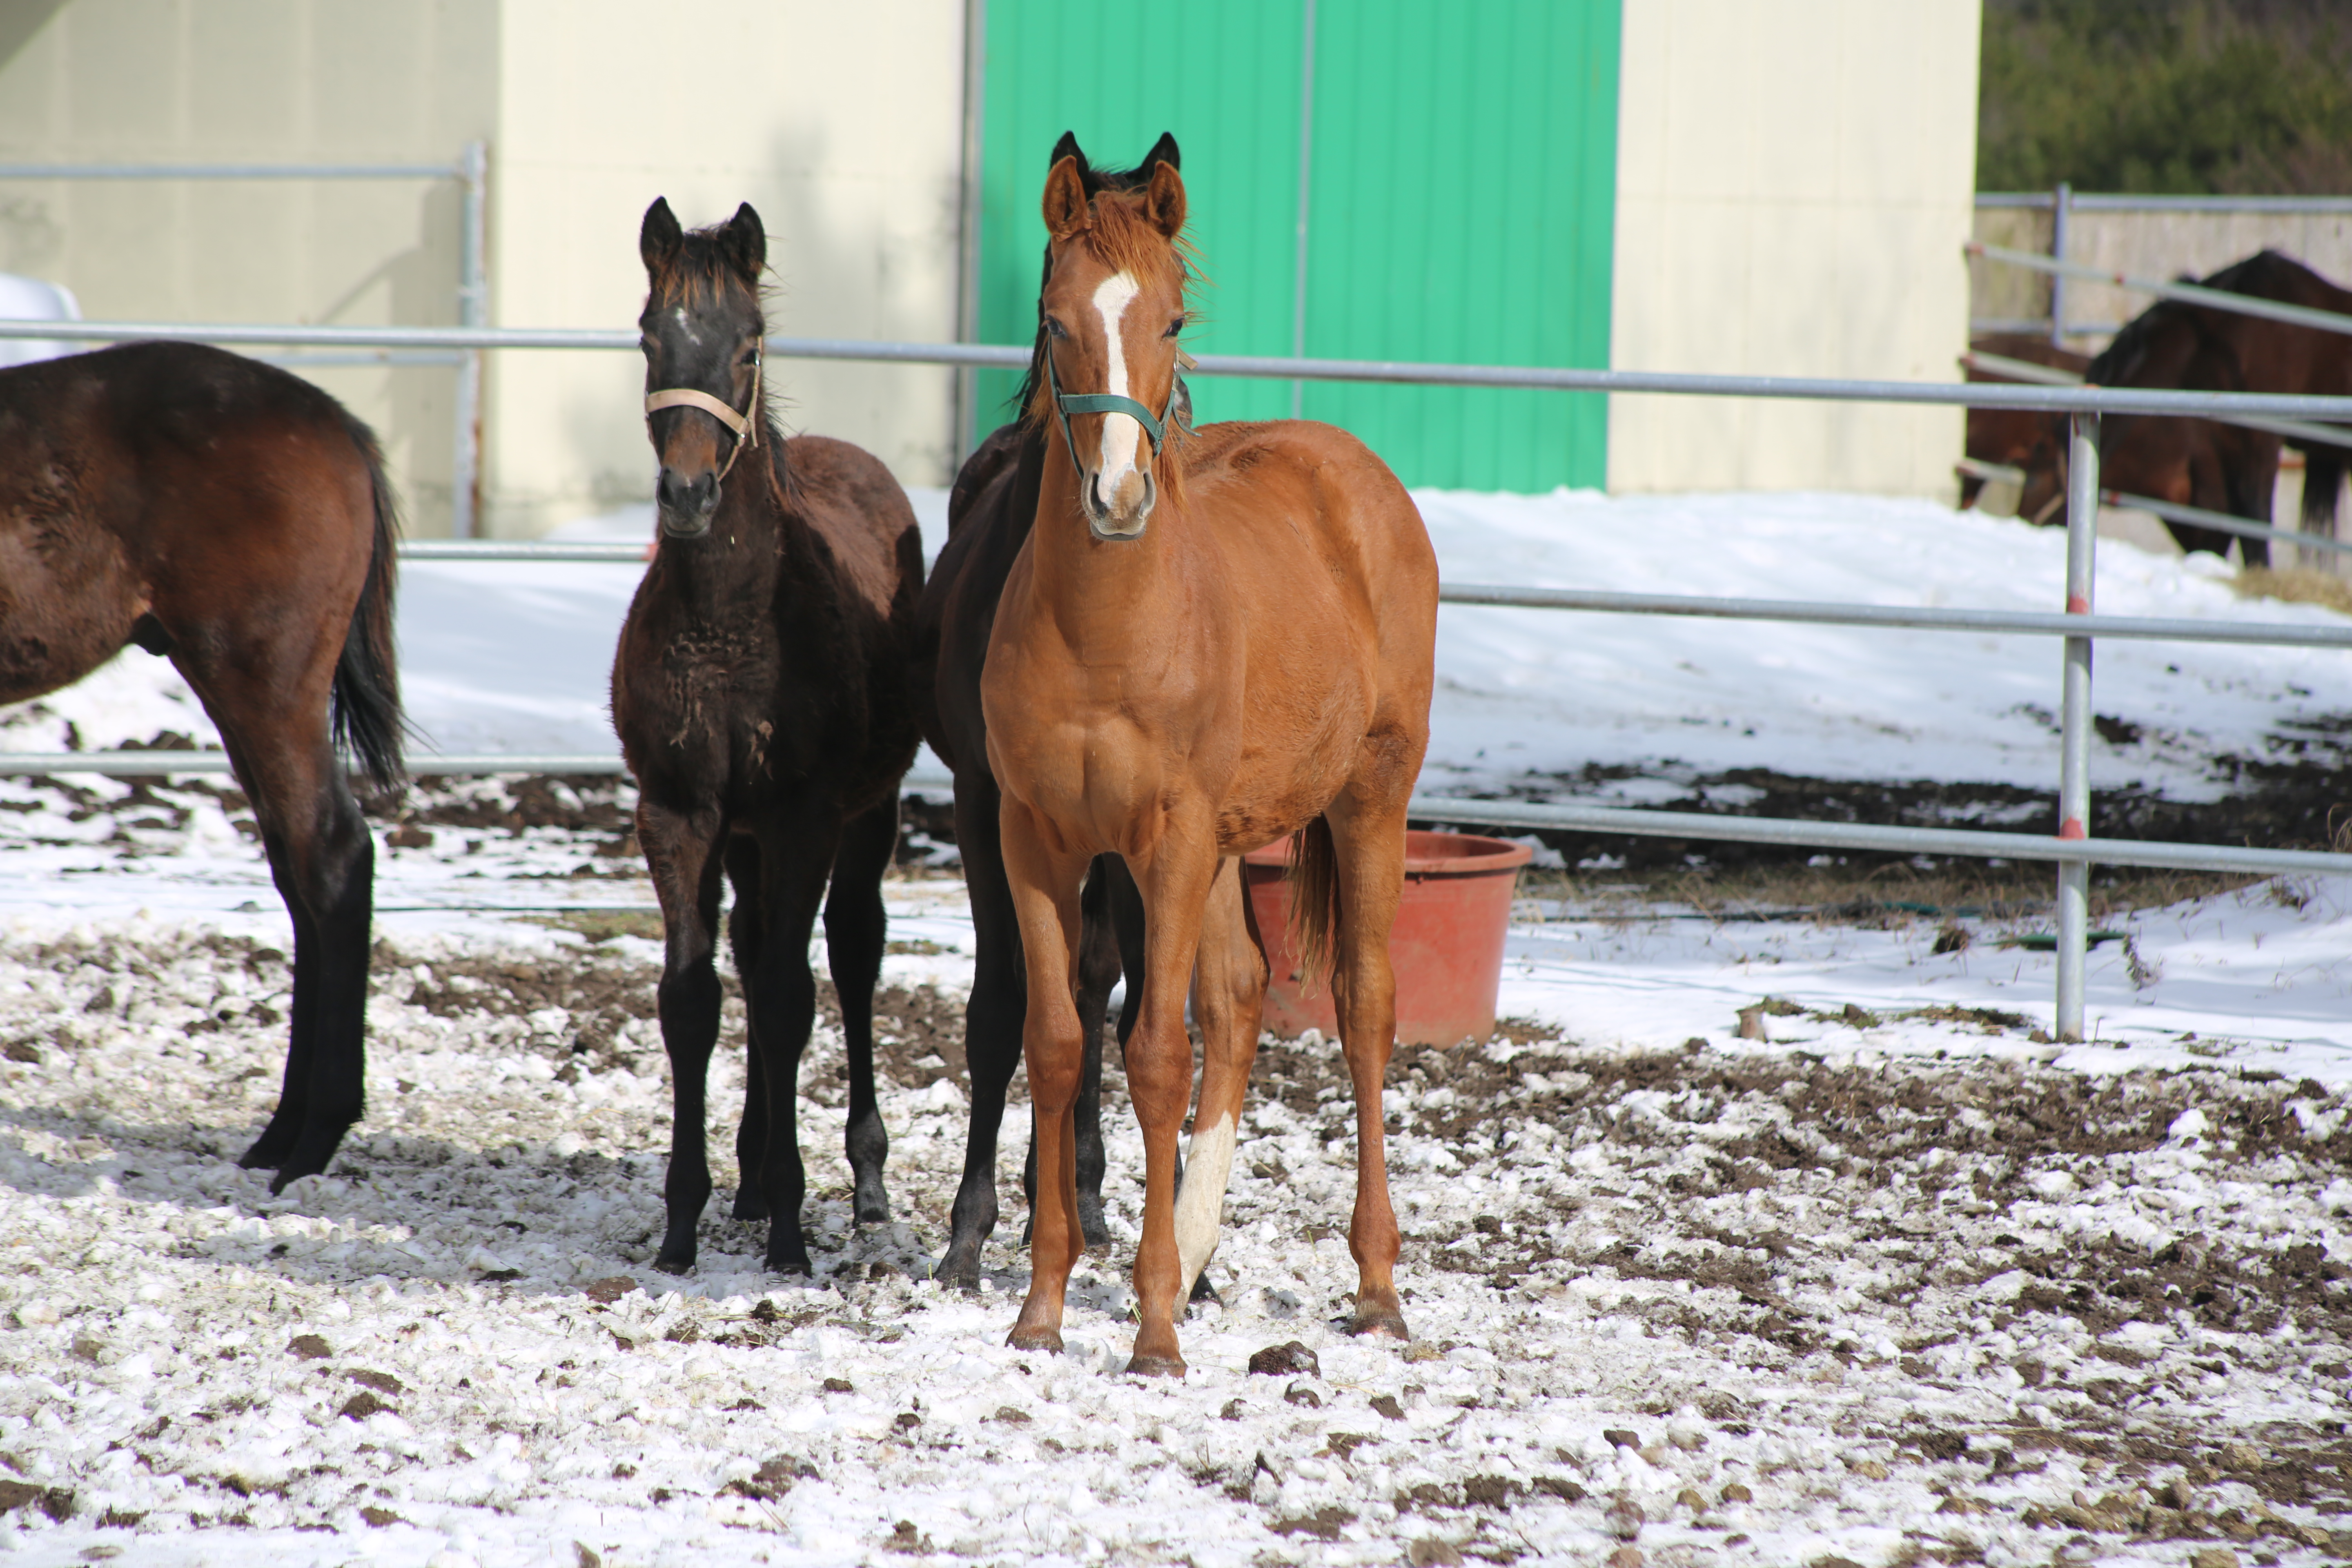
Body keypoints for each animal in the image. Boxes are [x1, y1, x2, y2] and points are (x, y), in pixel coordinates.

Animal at [0, 341, 402, 1189]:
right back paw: (280, 1135)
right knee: (298, 873)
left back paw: (314, 1139)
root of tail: (337, 425)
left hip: (260, 681)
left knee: (331, 857)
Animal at [611, 200, 922, 1278]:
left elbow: (791, 999)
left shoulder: (802, 819)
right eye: (649, 337)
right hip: (742, 838)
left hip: (866, 817)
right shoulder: (678, 812)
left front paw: (790, 1226)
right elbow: (693, 998)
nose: (687, 496)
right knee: (749, 950)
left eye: (747, 347)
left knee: (853, 954)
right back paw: (746, 1178)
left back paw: (861, 1184)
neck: (730, 623)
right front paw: (681, 1222)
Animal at [983, 144, 1439, 1373]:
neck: (1106, 634)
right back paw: (1191, 1255)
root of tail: (1358, 476)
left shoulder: (1170, 842)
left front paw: (1148, 1331)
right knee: (1236, 1003)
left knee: (1364, 1007)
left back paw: (1375, 1282)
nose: (1119, 496)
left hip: (1369, 799)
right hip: (1233, 840)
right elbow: (1057, 1045)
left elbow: (1150, 1057)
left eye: (1174, 319)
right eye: (1052, 323)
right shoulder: (1034, 839)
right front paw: (1044, 1307)